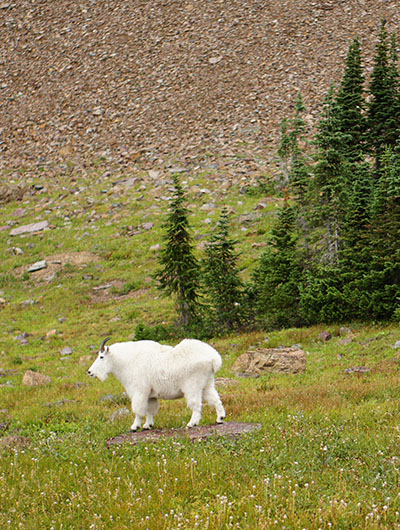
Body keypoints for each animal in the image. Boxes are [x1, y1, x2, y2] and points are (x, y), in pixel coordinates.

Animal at [87, 338, 225, 428]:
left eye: (101, 357)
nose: (90, 372)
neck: (126, 361)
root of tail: (214, 358)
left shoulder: (139, 390)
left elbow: (138, 409)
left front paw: (135, 426)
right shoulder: (150, 395)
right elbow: (150, 410)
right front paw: (148, 425)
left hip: (192, 386)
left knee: (196, 404)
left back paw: (192, 423)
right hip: (207, 384)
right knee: (215, 399)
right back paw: (220, 418)